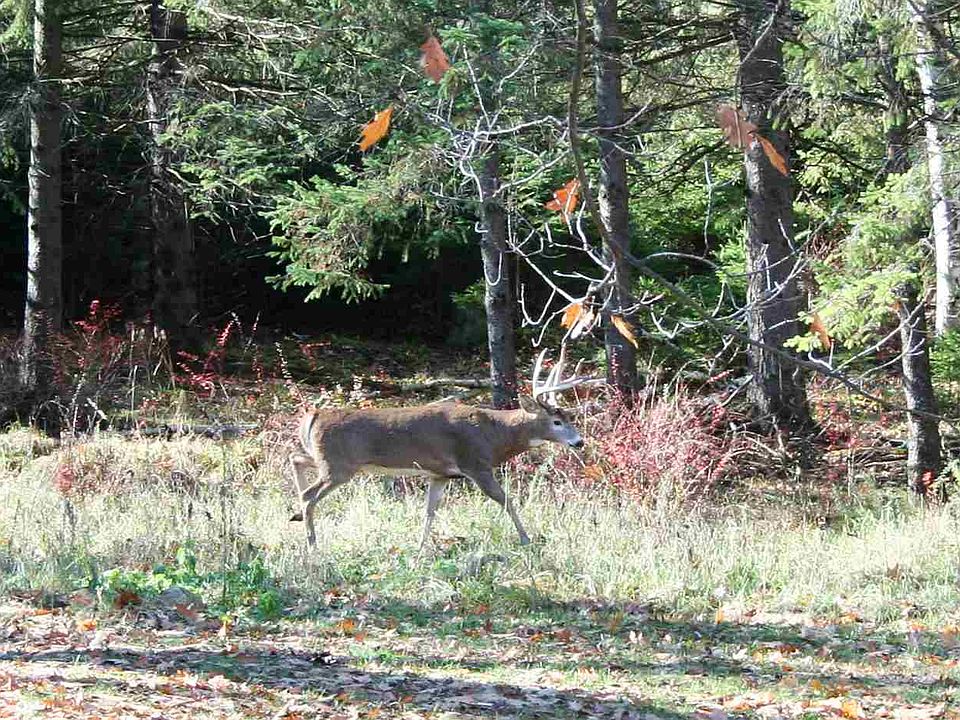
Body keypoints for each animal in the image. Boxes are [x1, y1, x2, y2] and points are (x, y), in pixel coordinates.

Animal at [288, 350, 590, 550]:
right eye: (557, 421)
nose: (579, 442)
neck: (495, 435)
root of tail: (314, 414)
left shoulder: (440, 474)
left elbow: (429, 511)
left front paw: (421, 547)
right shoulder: (475, 463)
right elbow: (506, 500)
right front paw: (526, 539)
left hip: (326, 459)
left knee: (296, 458)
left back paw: (296, 516)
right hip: (338, 465)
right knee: (309, 494)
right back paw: (312, 544)